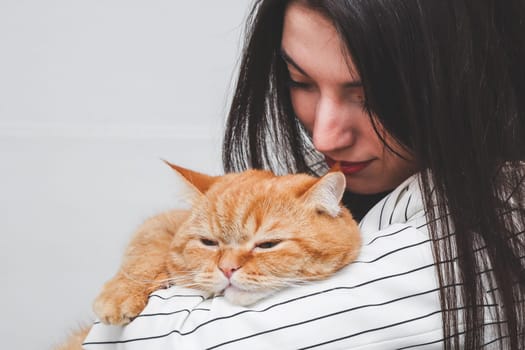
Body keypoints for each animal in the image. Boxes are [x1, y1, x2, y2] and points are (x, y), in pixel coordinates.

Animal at [57, 163, 360, 348]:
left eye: (267, 245)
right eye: (209, 243)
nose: (227, 269)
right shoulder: (163, 222)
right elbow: (147, 246)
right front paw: (121, 293)